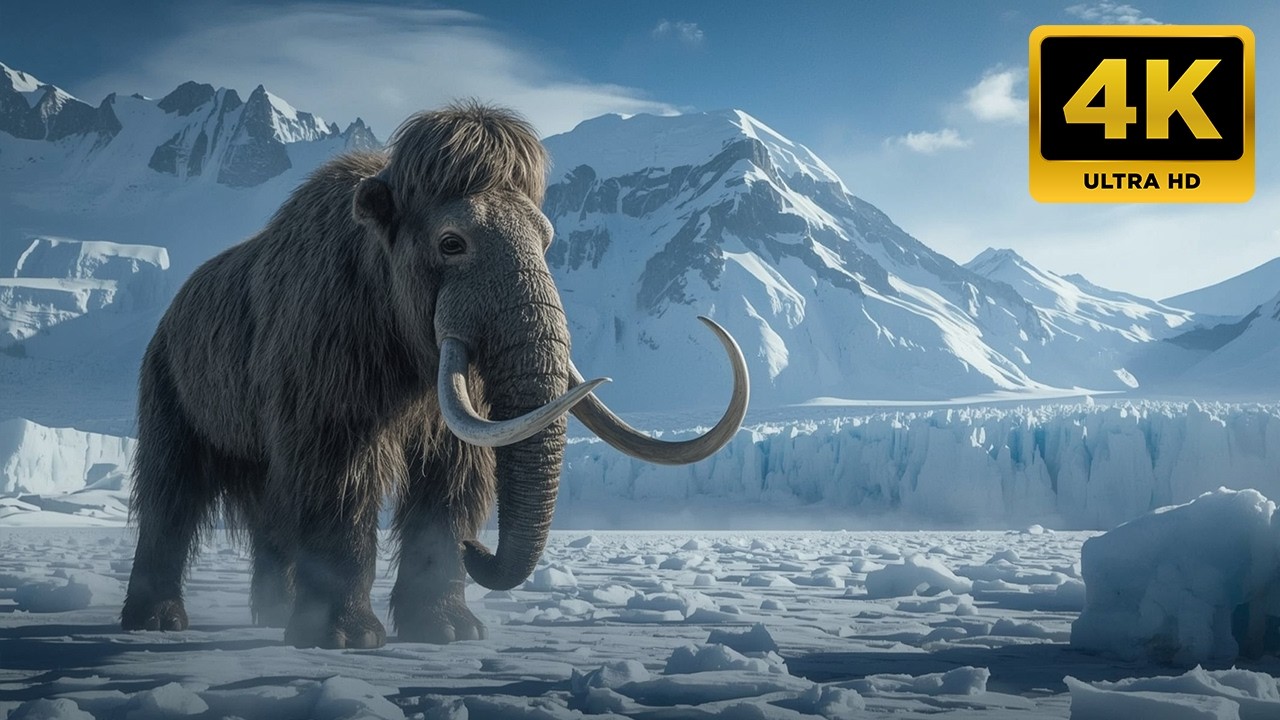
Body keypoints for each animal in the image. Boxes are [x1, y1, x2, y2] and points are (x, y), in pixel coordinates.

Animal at [120, 101, 748, 649]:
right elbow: (341, 488)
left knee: (269, 518)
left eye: (546, 239)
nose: (480, 550)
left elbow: (450, 486)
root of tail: (168, 319)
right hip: (169, 403)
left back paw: (273, 614)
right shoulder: (327, 398)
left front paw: (447, 629)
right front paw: (344, 637)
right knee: (170, 499)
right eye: (452, 242)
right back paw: (156, 620)